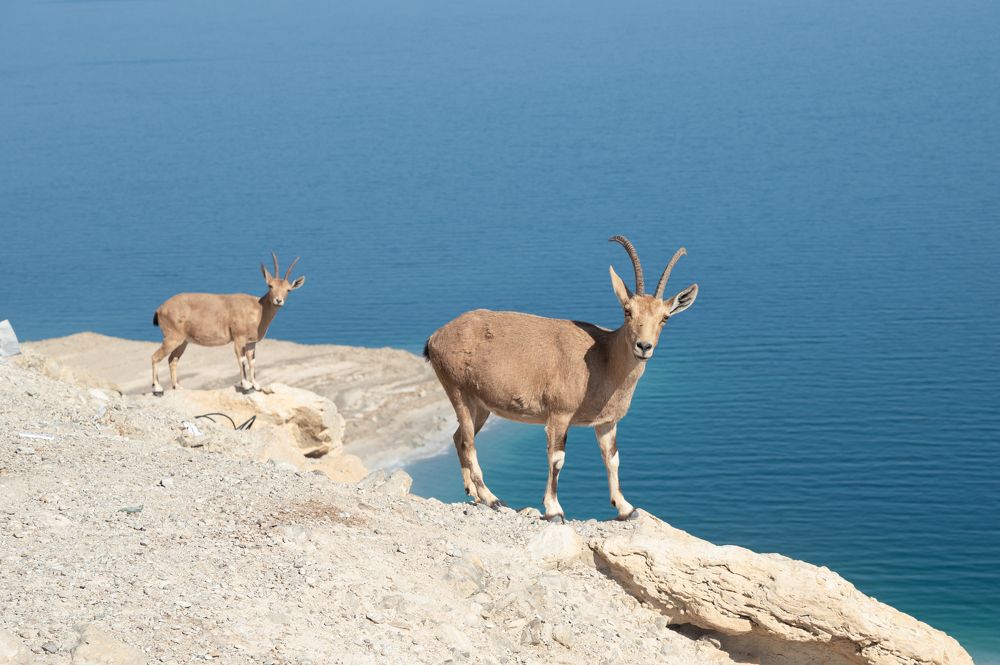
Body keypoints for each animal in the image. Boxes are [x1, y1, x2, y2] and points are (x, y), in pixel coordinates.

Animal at [150, 252, 305, 395]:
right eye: (270, 286)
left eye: (288, 289)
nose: (278, 300)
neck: (258, 309)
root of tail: (160, 308)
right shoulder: (238, 338)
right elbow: (242, 360)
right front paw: (246, 386)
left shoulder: (251, 342)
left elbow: (252, 361)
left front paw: (256, 385)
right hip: (173, 338)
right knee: (155, 356)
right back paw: (158, 389)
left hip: (183, 341)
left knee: (172, 360)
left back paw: (177, 387)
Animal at [424, 236, 697, 522]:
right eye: (627, 311)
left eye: (664, 317)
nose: (643, 346)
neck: (603, 359)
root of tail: (435, 337)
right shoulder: (560, 414)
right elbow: (557, 458)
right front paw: (554, 510)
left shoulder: (607, 422)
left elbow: (612, 458)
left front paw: (626, 508)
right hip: (457, 390)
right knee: (468, 442)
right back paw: (491, 498)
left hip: (480, 405)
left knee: (458, 438)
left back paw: (474, 493)